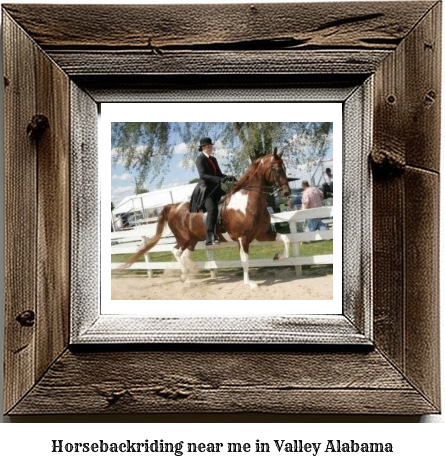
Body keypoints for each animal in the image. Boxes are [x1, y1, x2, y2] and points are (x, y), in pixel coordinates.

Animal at [119, 149, 290, 286]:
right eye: (276, 169)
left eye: (284, 167)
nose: (286, 192)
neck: (247, 201)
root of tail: (173, 206)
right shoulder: (243, 239)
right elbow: (245, 260)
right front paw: (249, 283)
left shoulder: (262, 234)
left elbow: (286, 239)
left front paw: (278, 257)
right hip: (183, 238)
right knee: (175, 252)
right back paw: (185, 278)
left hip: (193, 240)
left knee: (184, 255)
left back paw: (187, 277)